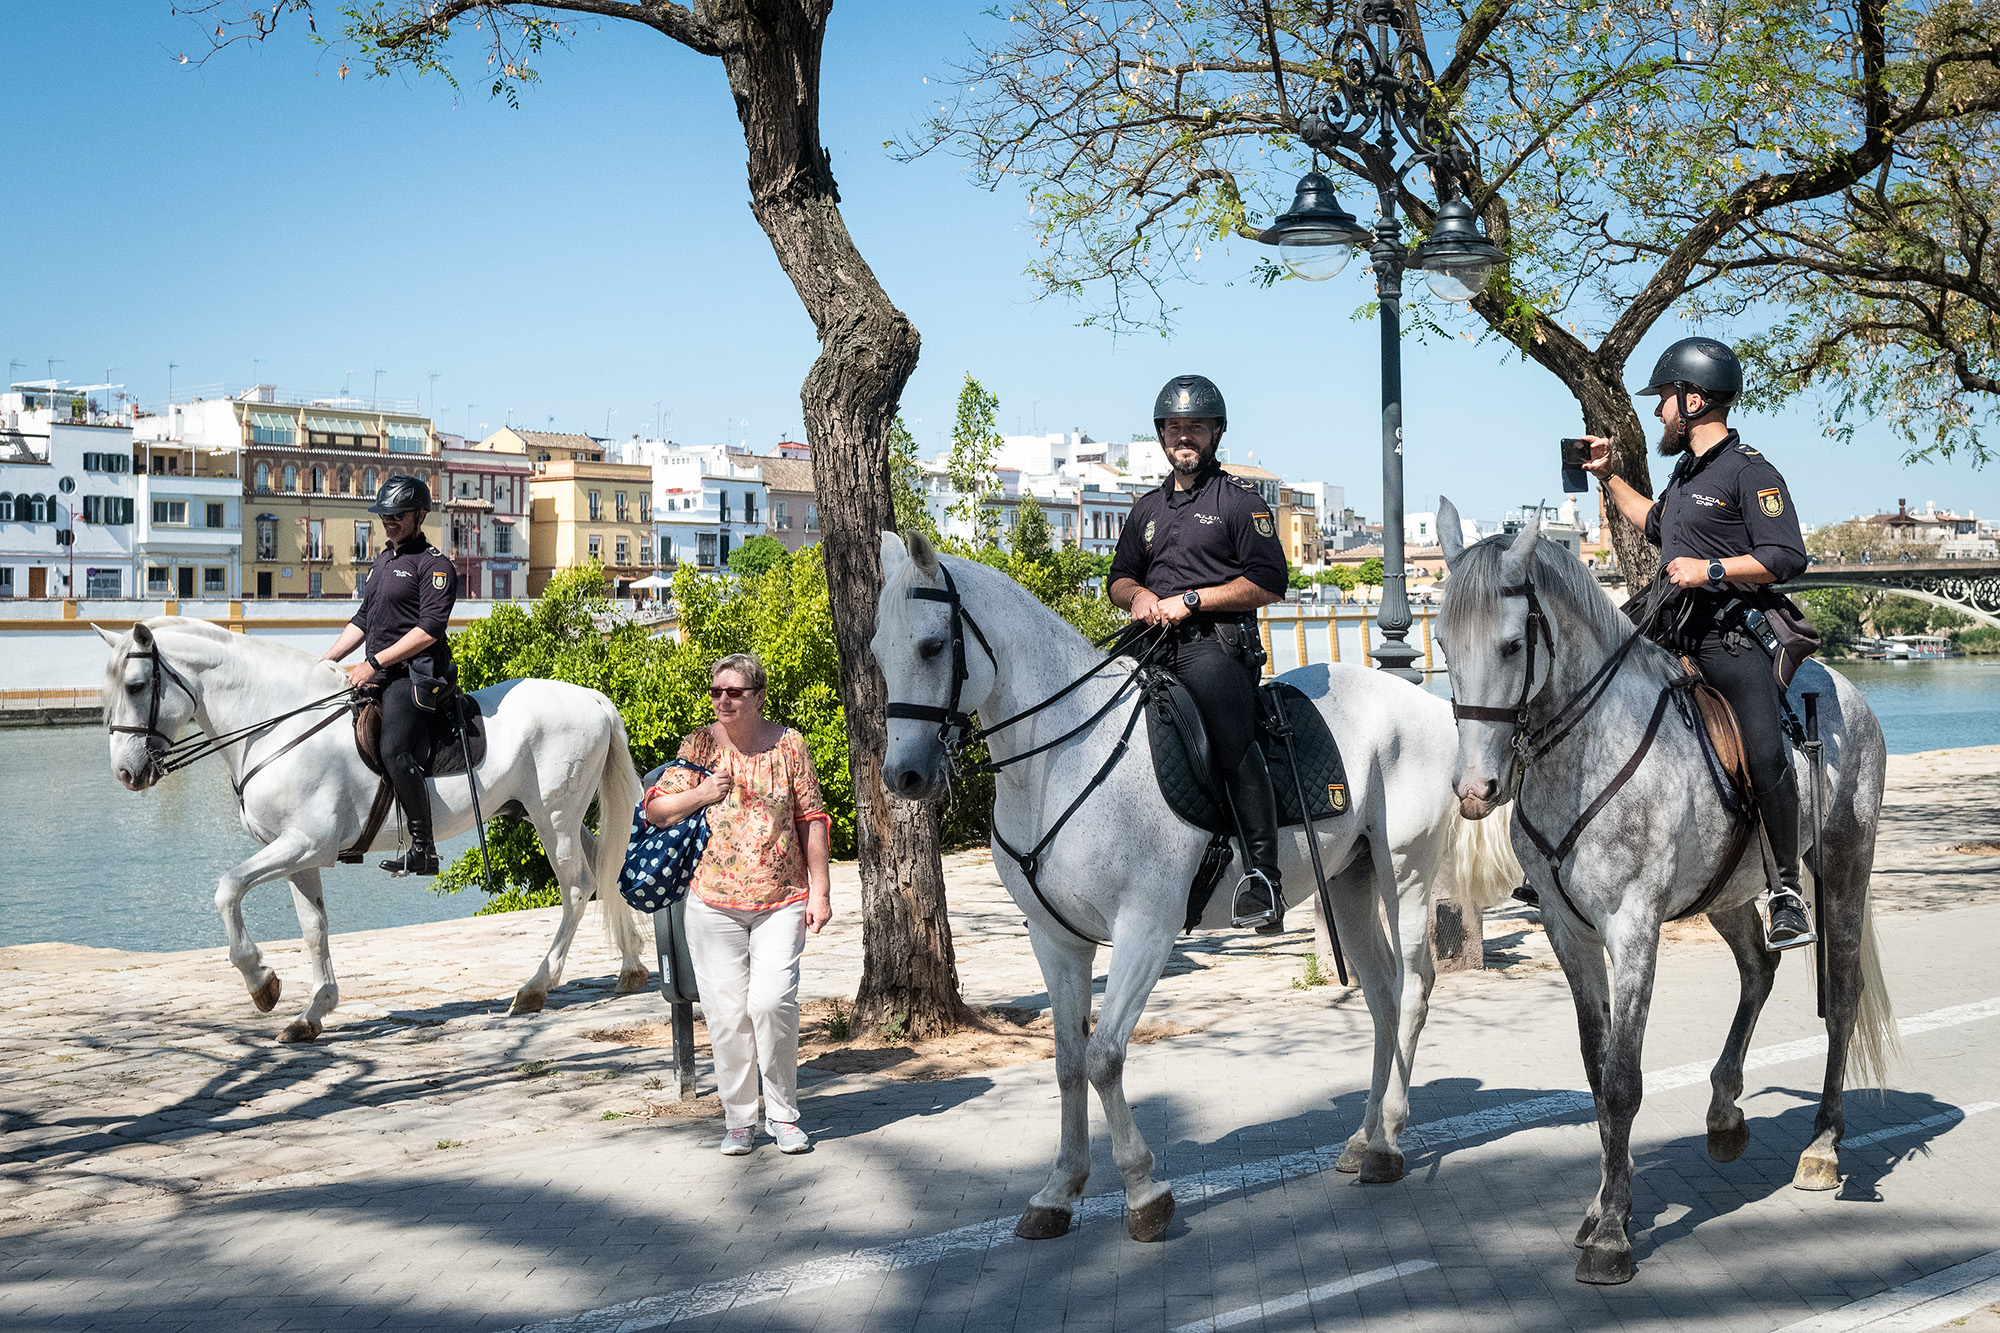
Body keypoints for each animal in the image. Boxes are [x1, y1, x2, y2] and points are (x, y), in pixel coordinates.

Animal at [101, 612, 648, 1040]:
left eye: (135, 687)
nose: (126, 773)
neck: (278, 728)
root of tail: (592, 698)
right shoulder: (298, 855)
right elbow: (314, 928)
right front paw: (312, 1012)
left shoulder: (305, 844)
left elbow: (228, 888)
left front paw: (262, 983)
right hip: (557, 816)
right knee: (603, 870)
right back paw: (631, 967)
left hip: (553, 816)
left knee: (576, 887)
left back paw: (535, 988)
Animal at [876, 536, 1512, 1240]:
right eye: (876, 648)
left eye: (932, 646)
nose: (904, 776)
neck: (1060, 757)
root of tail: (1426, 703)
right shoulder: (1055, 940)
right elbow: (1068, 1061)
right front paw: (1058, 1191)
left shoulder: (1145, 930)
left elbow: (1103, 1057)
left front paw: (1143, 1190)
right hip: (1351, 879)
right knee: (1382, 995)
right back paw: (1362, 1139)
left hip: (1406, 873)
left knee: (1415, 991)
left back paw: (1389, 1143)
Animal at [1440, 498, 1888, 1280]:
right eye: (1439, 641)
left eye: (1509, 646)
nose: (1475, 789)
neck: (1587, 747)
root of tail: (1845, 689)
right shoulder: (1567, 929)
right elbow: (1597, 1072)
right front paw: (1601, 1208)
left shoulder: (1632, 926)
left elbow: (1623, 1079)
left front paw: (1614, 1234)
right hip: (1730, 891)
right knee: (1758, 967)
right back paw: (1725, 1110)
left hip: (1843, 867)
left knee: (1841, 996)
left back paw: (1823, 1145)